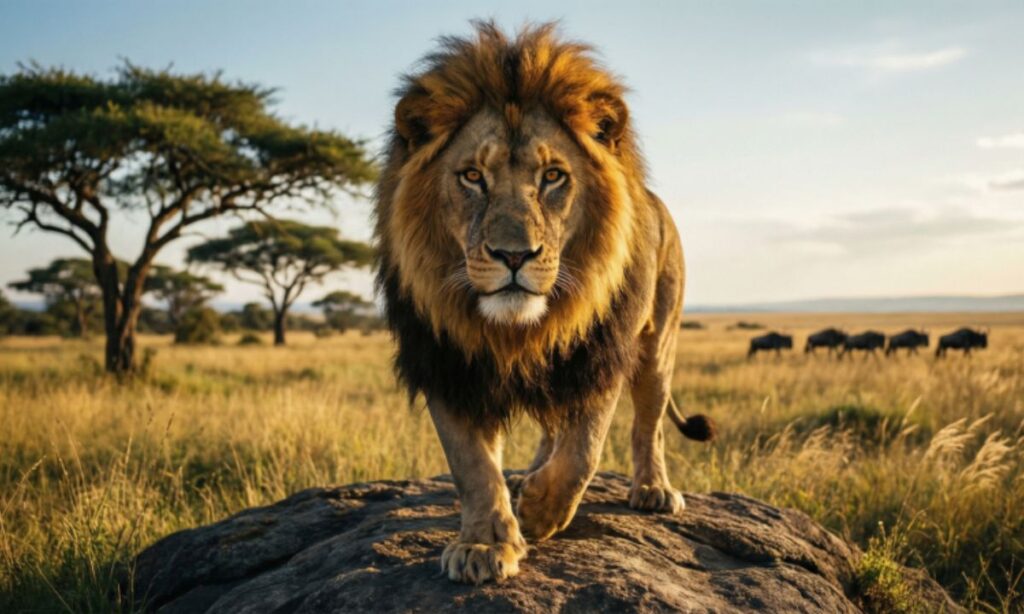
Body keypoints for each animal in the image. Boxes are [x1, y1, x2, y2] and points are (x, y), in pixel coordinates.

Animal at [374, 22, 714, 585]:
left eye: (553, 176)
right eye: (472, 176)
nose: (514, 255)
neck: (518, 328)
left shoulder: (600, 352)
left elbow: (585, 450)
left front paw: (539, 513)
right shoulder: (446, 359)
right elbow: (472, 465)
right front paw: (486, 543)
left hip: (658, 343)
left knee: (648, 425)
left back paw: (651, 490)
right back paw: (529, 475)